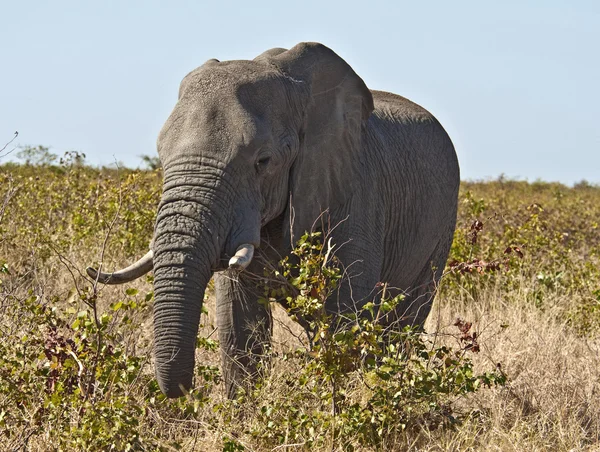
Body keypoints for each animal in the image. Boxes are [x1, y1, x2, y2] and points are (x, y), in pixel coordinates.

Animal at [86, 41, 460, 396]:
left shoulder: (355, 189)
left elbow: (343, 313)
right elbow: (239, 323)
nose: (184, 391)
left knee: (401, 324)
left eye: (262, 162)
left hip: (441, 229)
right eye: (161, 156)